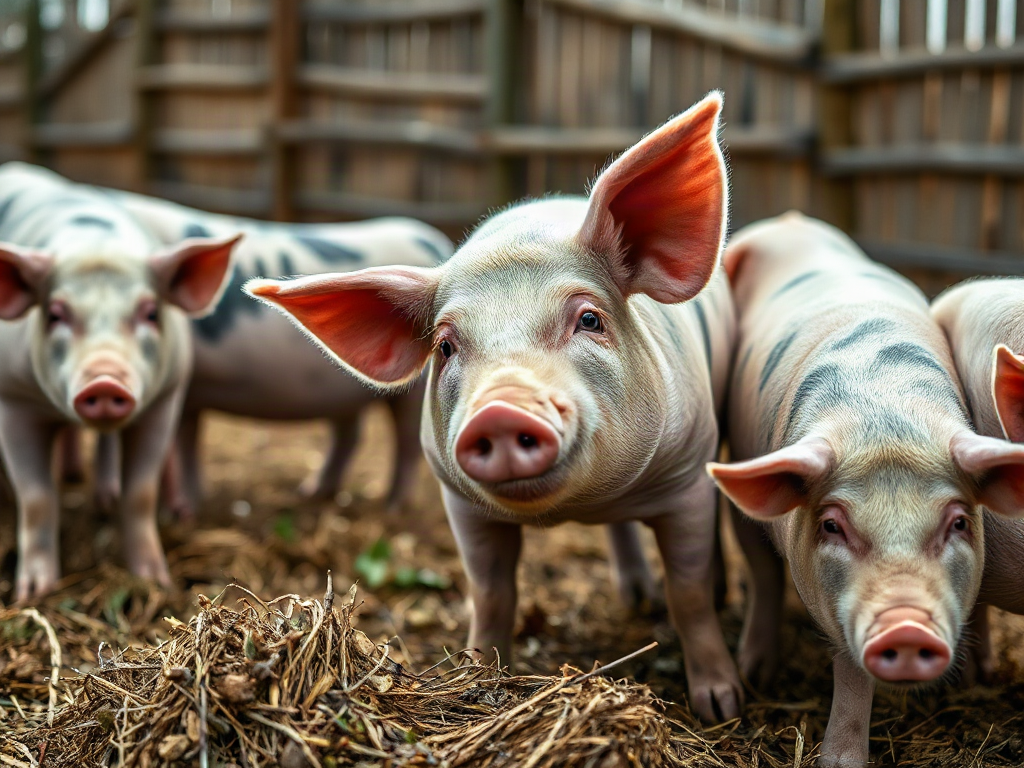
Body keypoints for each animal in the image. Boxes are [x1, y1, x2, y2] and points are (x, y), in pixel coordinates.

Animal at [0, 161, 238, 600]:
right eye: (55, 313)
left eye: (150, 312)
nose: (105, 381)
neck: (96, 244)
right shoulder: (14, 400)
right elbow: (37, 497)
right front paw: (35, 593)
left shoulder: (164, 402)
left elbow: (141, 494)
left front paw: (155, 581)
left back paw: (100, 494)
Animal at [90, 187, 452, 516]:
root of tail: (437, 245)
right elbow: (180, 442)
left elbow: (177, 445)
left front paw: (179, 512)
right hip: (347, 390)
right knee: (350, 435)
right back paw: (311, 493)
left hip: (413, 393)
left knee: (407, 443)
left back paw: (393, 509)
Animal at [246, 94, 743, 721]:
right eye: (445, 346)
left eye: (589, 318)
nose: (501, 412)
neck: (576, 508)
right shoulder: (459, 501)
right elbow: (490, 591)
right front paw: (480, 677)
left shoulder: (686, 477)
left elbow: (689, 592)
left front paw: (723, 706)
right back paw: (634, 597)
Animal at [707, 213, 1024, 766]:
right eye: (833, 525)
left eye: (960, 522)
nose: (906, 626)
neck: (882, 415)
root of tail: (791, 222)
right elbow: (849, 671)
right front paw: (838, 760)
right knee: (762, 576)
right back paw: (754, 672)